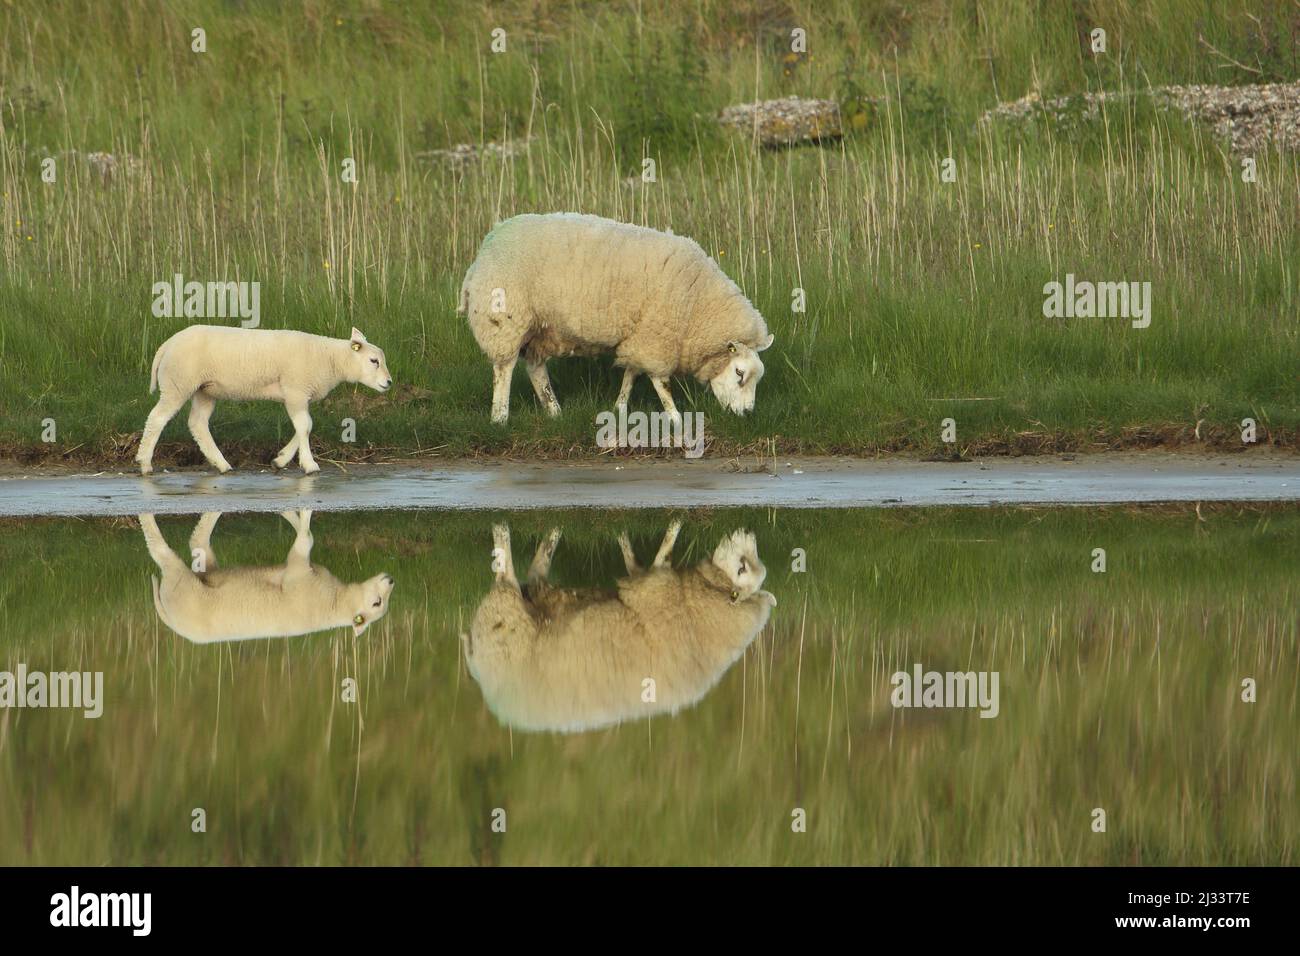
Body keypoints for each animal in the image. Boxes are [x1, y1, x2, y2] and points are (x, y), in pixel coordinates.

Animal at [135, 327, 395, 476]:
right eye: (373, 361)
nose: (389, 382)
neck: (329, 359)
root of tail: (167, 344)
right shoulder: (296, 389)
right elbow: (305, 426)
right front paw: (309, 465)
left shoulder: (297, 395)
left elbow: (305, 426)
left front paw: (280, 460)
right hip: (178, 383)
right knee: (157, 418)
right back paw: (145, 463)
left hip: (205, 390)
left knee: (197, 423)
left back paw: (221, 464)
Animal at [141, 509, 395, 642]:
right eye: (377, 602)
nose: (391, 579)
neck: (335, 602)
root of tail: (171, 622)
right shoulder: (299, 571)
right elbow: (308, 536)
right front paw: (299, 512)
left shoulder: (299, 570)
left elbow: (306, 537)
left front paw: (292, 513)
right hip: (181, 583)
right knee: (160, 550)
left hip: (190, 577)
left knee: (192, 544)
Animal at [457, 217, 769, 426]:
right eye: (739, 373)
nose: (747, 414)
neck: (698, 304)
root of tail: (482, 252)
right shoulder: (657, 337)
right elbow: (660, 382)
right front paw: (676, 418)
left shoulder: (641, 336)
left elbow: (631, 373)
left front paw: (619, 408)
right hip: (505, 320)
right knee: (504, 368)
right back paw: (500, 417)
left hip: (542, 329)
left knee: (535, 368)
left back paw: (554, 410)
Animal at [462, 522, 774, 733]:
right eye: (743, 568)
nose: (750, 531)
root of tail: (477, 668)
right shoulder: (653, 586)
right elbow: (660, 551)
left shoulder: (651, 588)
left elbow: (652, 556)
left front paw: (630, 537)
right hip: (507, 609)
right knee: (510, 568)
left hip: (514, 610)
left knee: (525, 569)